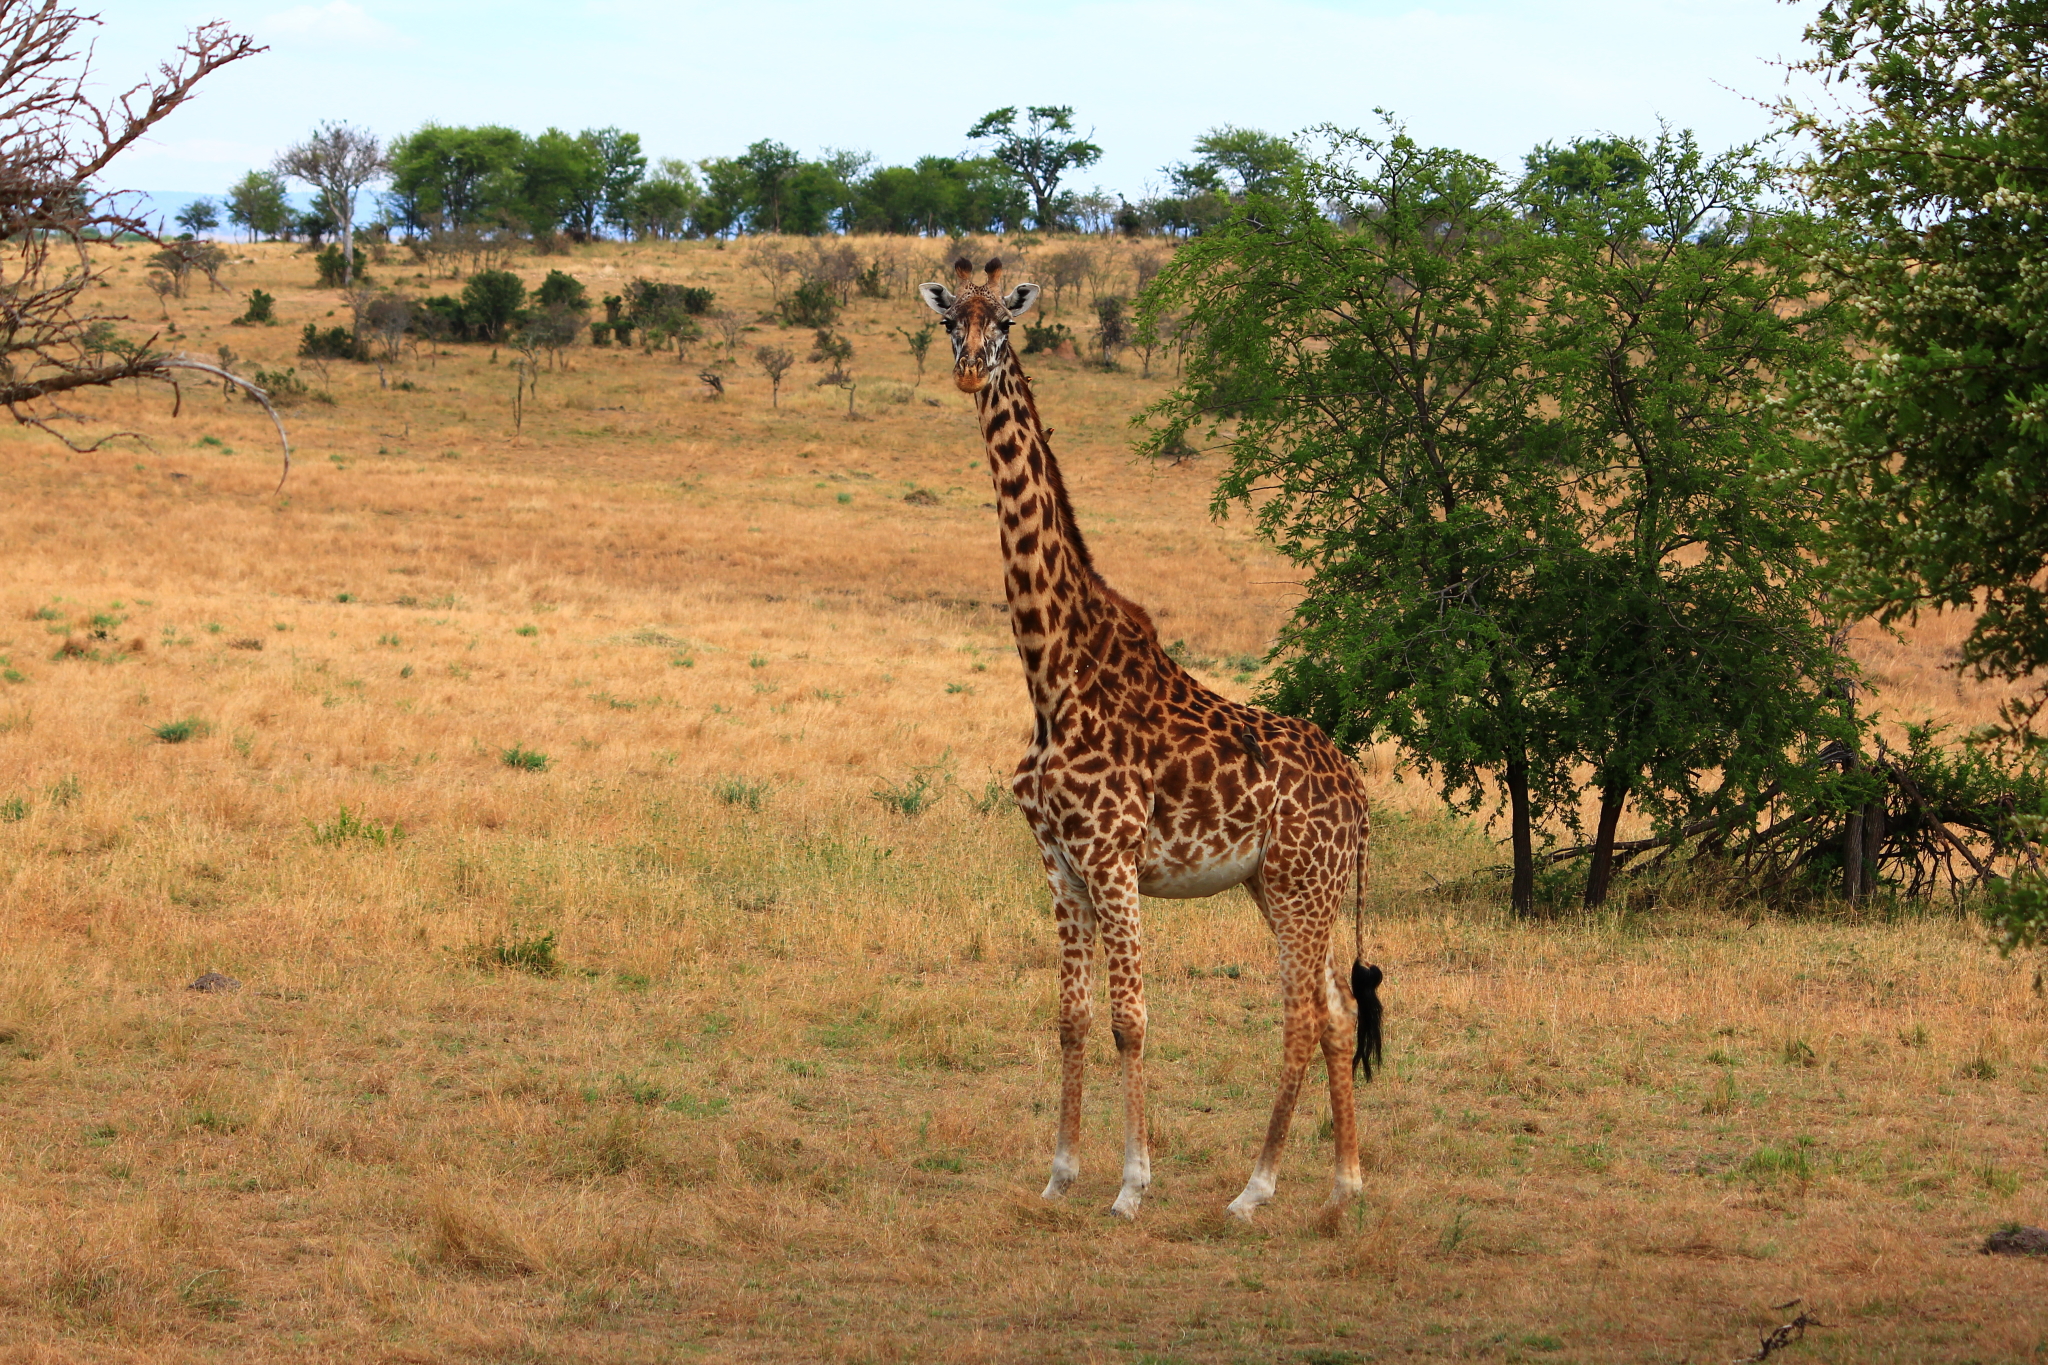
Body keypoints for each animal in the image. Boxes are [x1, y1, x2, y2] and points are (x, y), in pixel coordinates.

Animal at [921, 261, 1384, 1219]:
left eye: (1004, 325)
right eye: (950, 322)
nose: (969, 371)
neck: (1051, 671)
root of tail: (1361, 794)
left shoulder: (1112, 856)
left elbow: (1131, 1019)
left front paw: (1132, 1184)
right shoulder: (1058, 861)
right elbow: (1071, 1016)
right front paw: (1061, 1172)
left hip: (1301, 885)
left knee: (1300, 1015)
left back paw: (1253, 1190)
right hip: (1281, 887)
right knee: (1332, 1012)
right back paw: (1342, 1183)